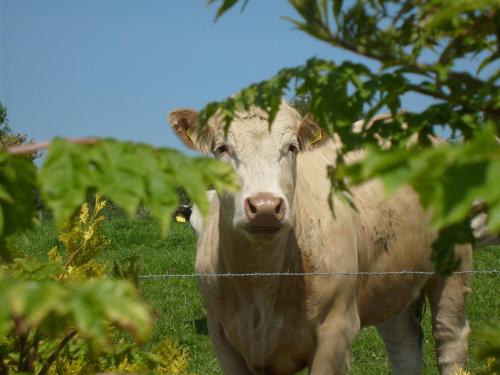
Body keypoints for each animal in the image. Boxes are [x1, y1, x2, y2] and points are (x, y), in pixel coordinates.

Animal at [169, 103, 472, 375]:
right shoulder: (222, 336)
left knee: (450, 339)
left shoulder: (336, 329)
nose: (265, 206)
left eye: (292, 147)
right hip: (392, 281)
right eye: (222, 148)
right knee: (404, 345)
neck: (259, 281)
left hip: (454, 267)